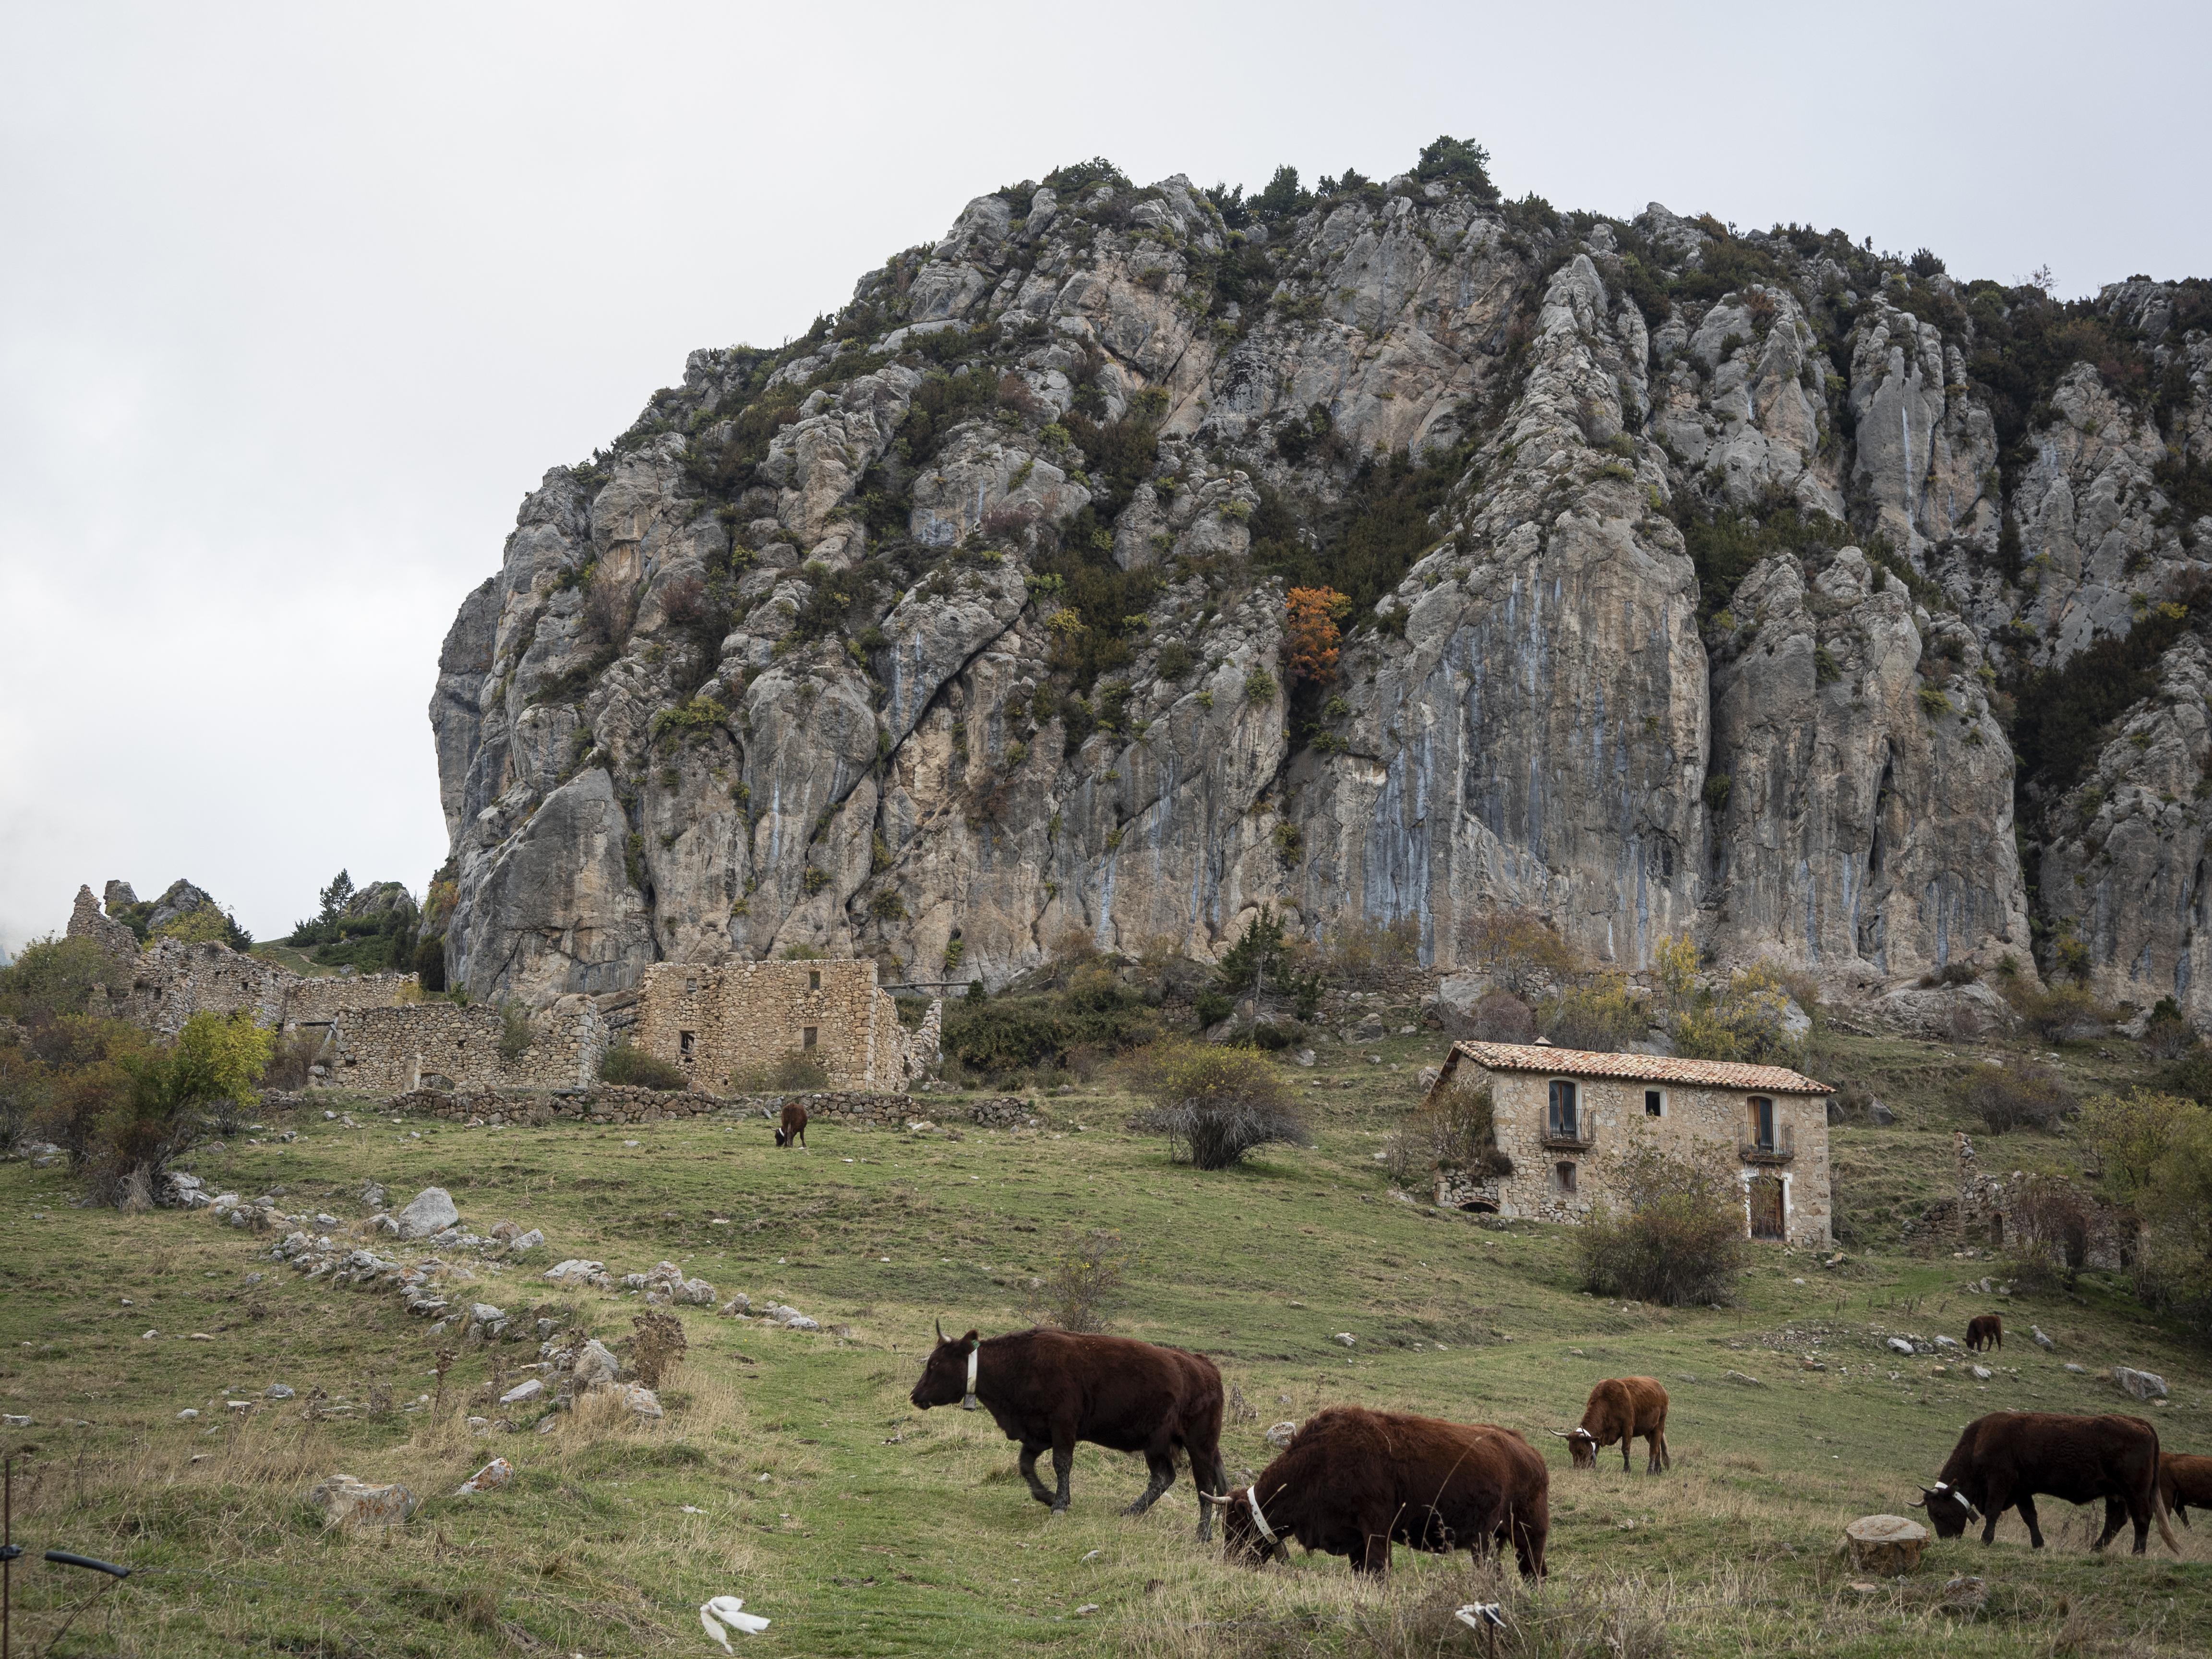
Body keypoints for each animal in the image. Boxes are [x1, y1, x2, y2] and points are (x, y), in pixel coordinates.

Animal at [907, 1327, 1238, 1548]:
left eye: (935, 1364)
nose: (915, 1395)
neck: (1021, 1363)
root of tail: (1205, 1366)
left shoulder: (1063, 1427)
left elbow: (1061, 1464)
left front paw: (1059, 1504)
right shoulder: (1036, 1434)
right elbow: (1026, 1465)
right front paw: (1047, 1496)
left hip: (1198, 1446)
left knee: (1204, 1486)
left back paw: (1202, 1534)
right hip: (1158, 1445)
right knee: (1164, 1478)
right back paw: (1130, 1511)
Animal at [1221, 1416, 1548, 1584]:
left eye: (1235, 1526)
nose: (1229, 1562)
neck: (1320, 1462)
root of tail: (1529, 1451)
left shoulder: (1376, 1532)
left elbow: (1379, 1571)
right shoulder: (1354, 1540)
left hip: (1527, 1536)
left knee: (1535, 1571)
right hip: (1489, 1542)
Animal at [1548, 1380, 1663, 1478]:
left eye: (1581, 1450)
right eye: (1571, 1451)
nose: (1578, 1468)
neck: (1607, 1402)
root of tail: (1660, 1388)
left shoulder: (1628, 1428)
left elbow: (1625, 1449)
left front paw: (1627, 1469)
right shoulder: (1600, 1434)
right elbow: (1596, 1450)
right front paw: (1593, 1467)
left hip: (1658, 1427)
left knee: (1653, 1449)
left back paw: (1650, 1471)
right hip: (1648, 1432)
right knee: (1658, 1448)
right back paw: (1657, 1471)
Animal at [1920, 1416, 2176, 1557]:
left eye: (1939, 1513)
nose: (1946, 1539)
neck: (1979, 1441)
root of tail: (2139, 1422)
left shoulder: (1999, 1483)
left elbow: (1993, 1513)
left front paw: (1986, 1539)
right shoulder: (2021, 1490)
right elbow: (2030, 1516)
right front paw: (2038, 1544)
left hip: (2135, 1491)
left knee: (2141, 1518)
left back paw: (2137, 1553)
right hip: (2116, 1493)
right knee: (2115, 1521)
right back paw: (2096, 1549)